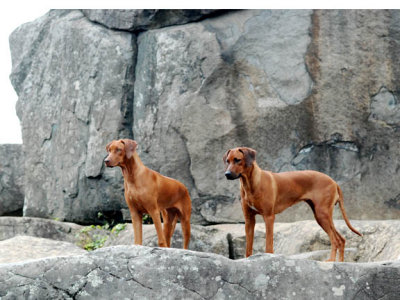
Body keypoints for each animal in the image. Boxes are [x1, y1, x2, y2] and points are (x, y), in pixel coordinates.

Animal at [223, 146, 360, 262]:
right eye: (227, 161)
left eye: (237, 160)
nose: (227, 174)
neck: (250, 183)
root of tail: (333, 181)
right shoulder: (249, 219)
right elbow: (248, 246)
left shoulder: (269, 217)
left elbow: (268, 244)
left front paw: (269, 258)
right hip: (321, 215)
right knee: (341, 239)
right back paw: (340, 262)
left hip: (322, 214)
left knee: (335, 239)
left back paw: (331, 261)